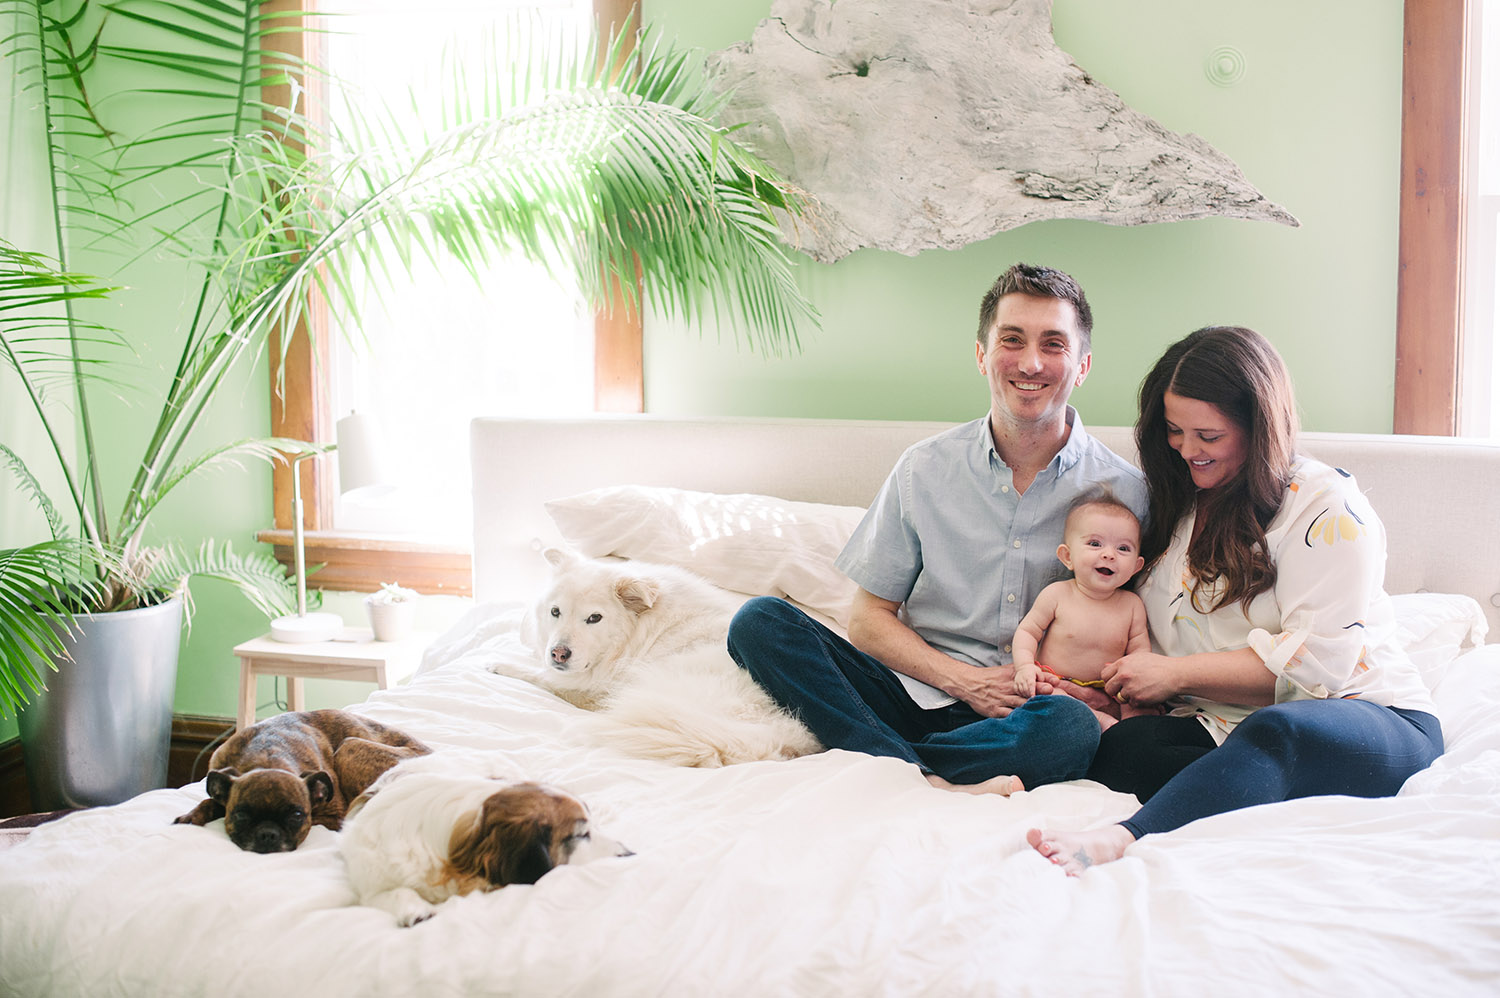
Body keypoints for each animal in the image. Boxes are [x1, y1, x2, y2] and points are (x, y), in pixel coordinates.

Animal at [178, 708, 435, 846]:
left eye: (297, 816)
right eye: (240, 815)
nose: (267, 835)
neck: (266, 757)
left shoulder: (335, 815)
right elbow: (210, 800)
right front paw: (193, 815)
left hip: (349, 748)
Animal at [513, 549, 822, 765]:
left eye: (594, 618)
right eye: (555, 612)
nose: (558, 653)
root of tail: (781, 732)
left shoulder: (592, 690)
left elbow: (541, 678)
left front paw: (506, 665)